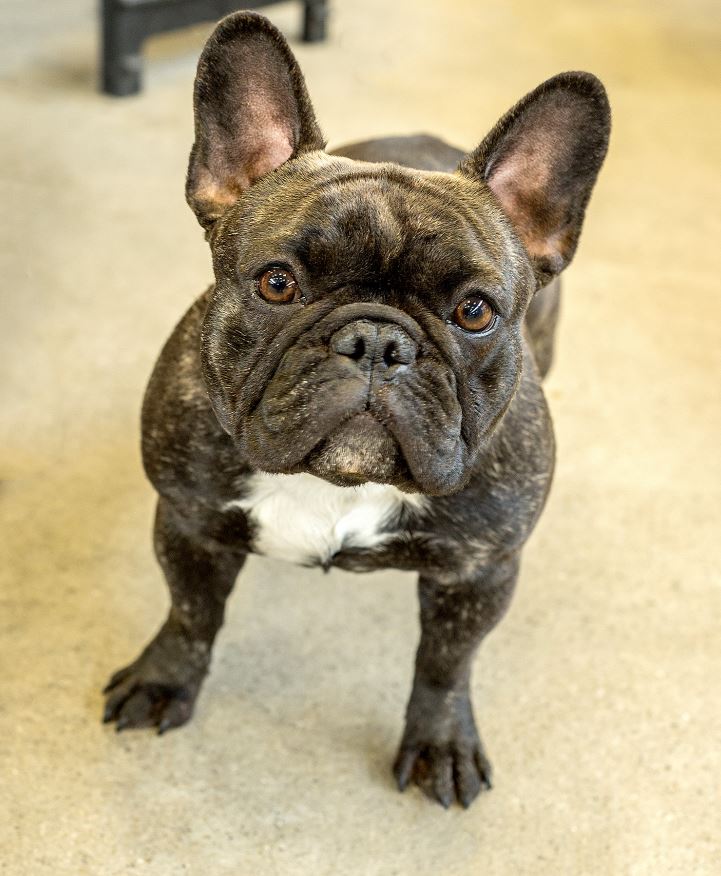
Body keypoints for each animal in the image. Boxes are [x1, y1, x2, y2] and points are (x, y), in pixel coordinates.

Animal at [101, 12, 608, 808]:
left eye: (474, 312)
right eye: (276, 283)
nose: (376, 341)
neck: (339, 484)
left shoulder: (479, 571)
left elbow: (445, 663)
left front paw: (441, 743)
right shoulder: (188, 521)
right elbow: (189, 612)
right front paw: (164, 680)